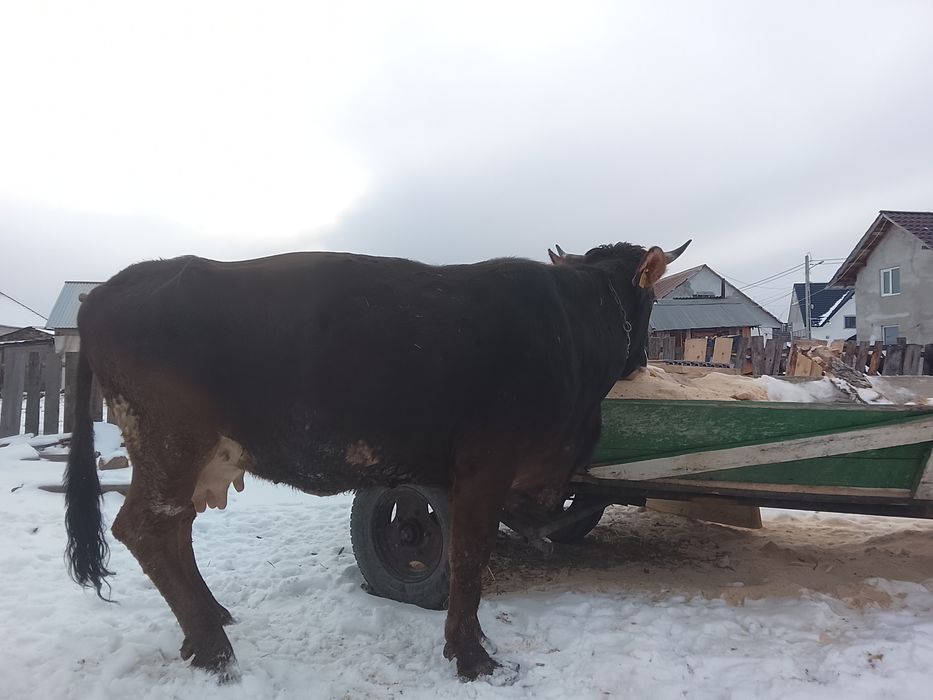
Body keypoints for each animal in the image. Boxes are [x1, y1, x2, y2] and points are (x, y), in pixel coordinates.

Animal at [65, 239, 689, 682]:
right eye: (652, 298)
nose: (643, 359)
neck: (571, 325)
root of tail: (108, 289)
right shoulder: (485, 466)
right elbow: (469, 558)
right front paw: (472, 657)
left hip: (191, 460)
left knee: (173, 533)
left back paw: (208, 625)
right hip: (171, 442)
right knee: (146, 528)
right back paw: (217, 652)